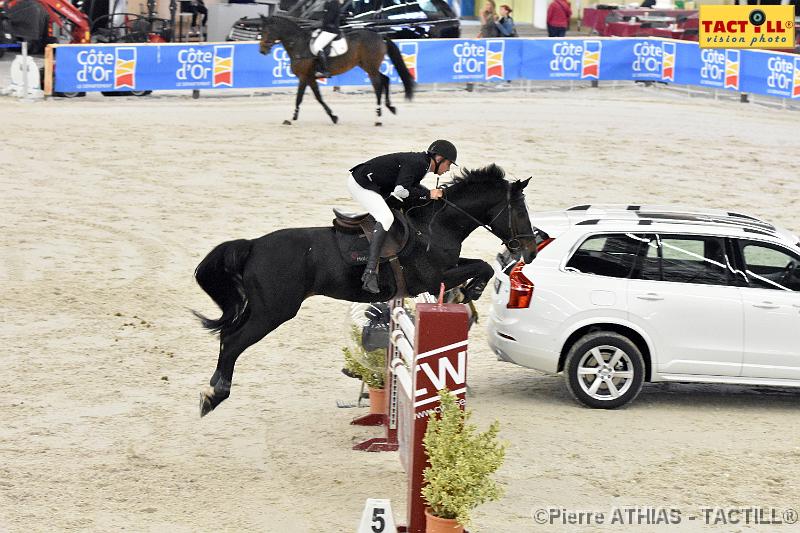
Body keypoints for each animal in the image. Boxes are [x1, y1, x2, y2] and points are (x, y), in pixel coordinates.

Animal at [195, 163, 536, 416]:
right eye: (520, 211)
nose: (531, 251)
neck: (437, 225)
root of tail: (253, 245)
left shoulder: (447, 268)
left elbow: (480, 264)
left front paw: (470, 291)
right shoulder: (433, 276)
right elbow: (483, 266)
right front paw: (472, 290)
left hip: (261, 307)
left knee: (227, 336)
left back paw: (213, 388)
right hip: (274, 311)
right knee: (234, 341)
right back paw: (215, 395)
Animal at [260, 15, 416, 125]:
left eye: (266, 30)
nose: (262, 50)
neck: (299, 45)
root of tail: (380, 36)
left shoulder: (305, 76)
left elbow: (302, 98)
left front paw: (291, 119)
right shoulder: (308, 78)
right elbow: (314, 98)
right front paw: (332, 116)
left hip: (371, 68)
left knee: (378, 86)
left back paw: (378, 119)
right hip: (367, 66)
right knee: (385, 79)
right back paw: (390, 107)